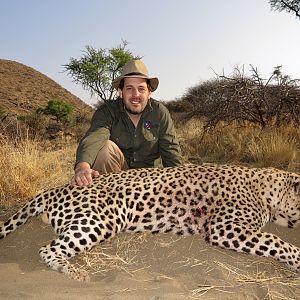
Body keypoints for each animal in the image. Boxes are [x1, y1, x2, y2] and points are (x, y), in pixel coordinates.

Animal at [0, 164, 300, 282]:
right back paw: (76, 272)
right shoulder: (225, 227)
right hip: (100, 219)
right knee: (47, 249)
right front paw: (298, 261)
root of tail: (55, 188)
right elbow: (274, 240)